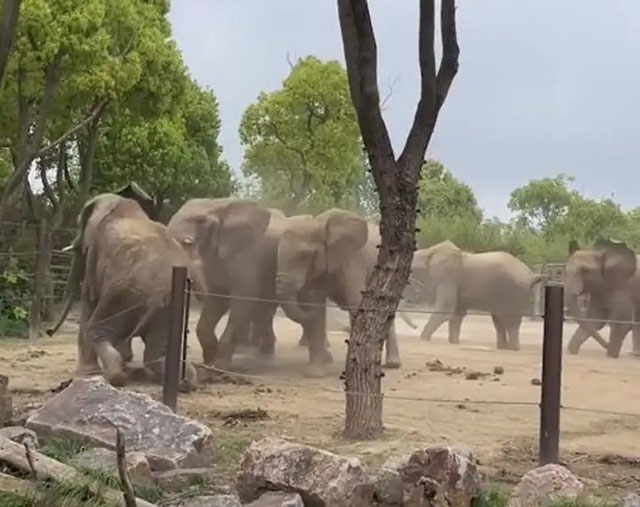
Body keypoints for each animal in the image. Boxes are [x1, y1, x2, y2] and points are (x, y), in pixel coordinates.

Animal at [48, 193, 207, 389]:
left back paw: (116, 375)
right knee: (157, 352)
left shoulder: (95, 251)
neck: (118, 203)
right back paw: (185, 381)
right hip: (169, 308)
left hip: (123, 296)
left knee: (97, 330)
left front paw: (88, 373)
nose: (48, 331)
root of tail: (157, 297)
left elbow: (89, 299)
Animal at [165, 198, 273, 365]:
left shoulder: (247, 257)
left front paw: (220, 365)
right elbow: (217, 298)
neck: (216, 204)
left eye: (202, 221)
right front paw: (209, 362)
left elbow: (243, 300)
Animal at [275, 208, 406, 378]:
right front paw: (315, 374)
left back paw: (392, 364)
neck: (318, 225)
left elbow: (356, 304)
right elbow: (316, 308)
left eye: (303, 256)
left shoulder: (352, 260)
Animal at [408, 240, 544, 350]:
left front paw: (423, 338)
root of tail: (531, 276)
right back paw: (503, 348)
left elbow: (446, 310)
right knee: (498, 321)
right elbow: (457, 314)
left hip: (514, 293)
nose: (415, 327)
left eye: (412, 270)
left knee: (510, 321)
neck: (429, 251)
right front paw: (454, 343)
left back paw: (513, 349)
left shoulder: (449, 277)